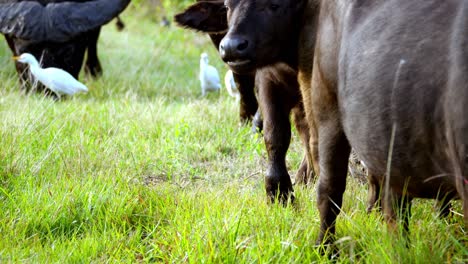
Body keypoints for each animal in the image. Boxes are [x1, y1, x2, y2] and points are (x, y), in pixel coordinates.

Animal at [216, 0, 468, 245]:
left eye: (275, 6)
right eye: (227, 6)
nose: (231, 46)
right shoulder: (274, 79)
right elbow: (277, 136)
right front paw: (279, 194)